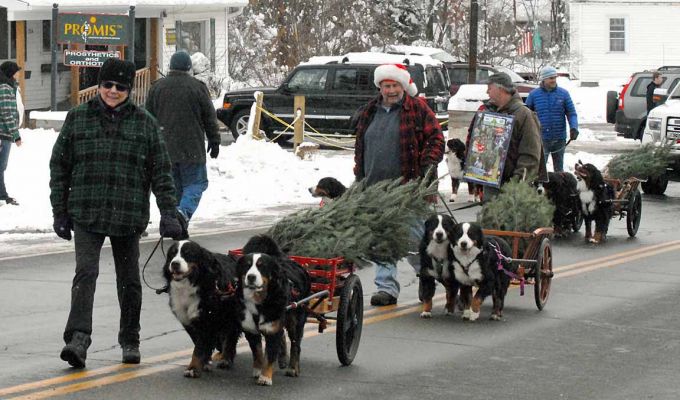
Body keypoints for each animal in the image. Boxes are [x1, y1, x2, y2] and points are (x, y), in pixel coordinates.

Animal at [163, 241, 242, 378]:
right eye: (172, 254)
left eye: (188, 254)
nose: (175, 264)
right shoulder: (188, 320)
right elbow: (199, 342)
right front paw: (204, 362)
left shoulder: (207, 319)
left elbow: (199, 347)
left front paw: (193, 368)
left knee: (231, 336)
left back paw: (226, 359)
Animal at [236, 234, 310, 384]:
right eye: (247, 266)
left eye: (261, 267)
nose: (251, 277)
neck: (259, 302)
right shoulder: (251, 330)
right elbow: (258, 353)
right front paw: (258, 371)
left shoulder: (272, 329)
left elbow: (269, 356)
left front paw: (265, 377)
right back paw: (282, 360)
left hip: (296, 321)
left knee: (296, 345)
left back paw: (293, 368)